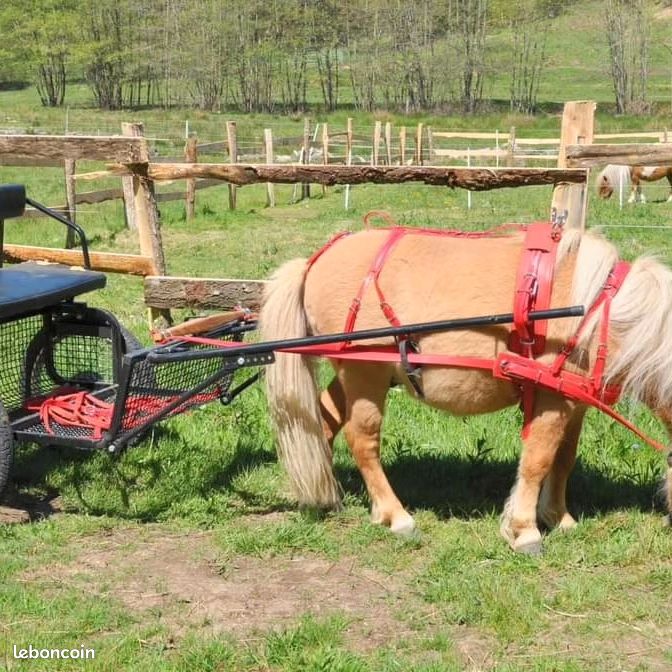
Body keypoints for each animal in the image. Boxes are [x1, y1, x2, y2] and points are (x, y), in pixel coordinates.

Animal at [259, 225, 672, 554]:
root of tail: (316, 260)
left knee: (323, 424)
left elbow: (563, 459)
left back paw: (329, 497)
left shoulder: (573, 402)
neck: (600, 313)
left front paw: (559, 517)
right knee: (362, 441)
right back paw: (396, 516)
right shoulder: (553, 399)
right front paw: (525, 530)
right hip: (365, 374)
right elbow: (538, 459)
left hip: (355, 375)